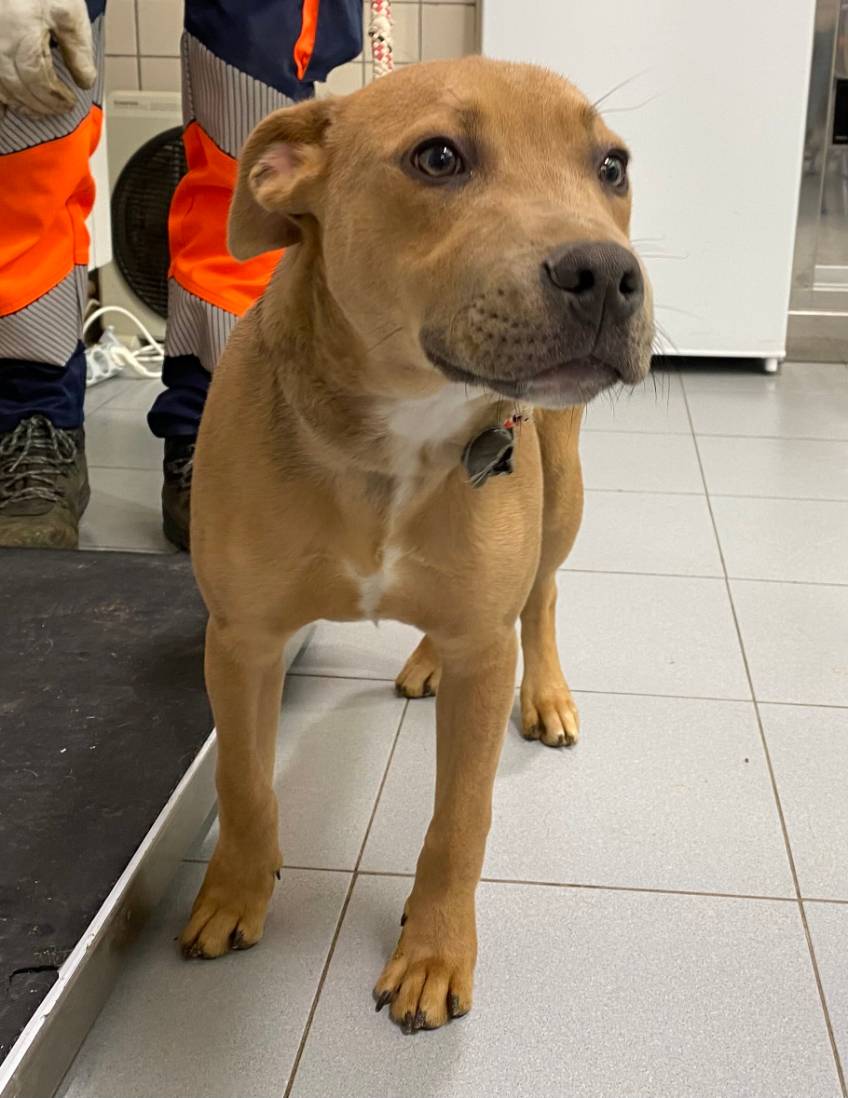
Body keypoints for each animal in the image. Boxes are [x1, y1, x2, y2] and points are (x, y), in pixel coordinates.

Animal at [180, 56, 654, 1034]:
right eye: (438, 157)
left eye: (612, 167)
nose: (606, 271)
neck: (402, 430)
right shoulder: (241, 641)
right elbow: (243, 782)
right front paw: (235, 893)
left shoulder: (484, 653)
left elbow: (459, 822)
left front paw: (434, 952)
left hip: (562, 499)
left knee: (541, 598)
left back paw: (544, 693)